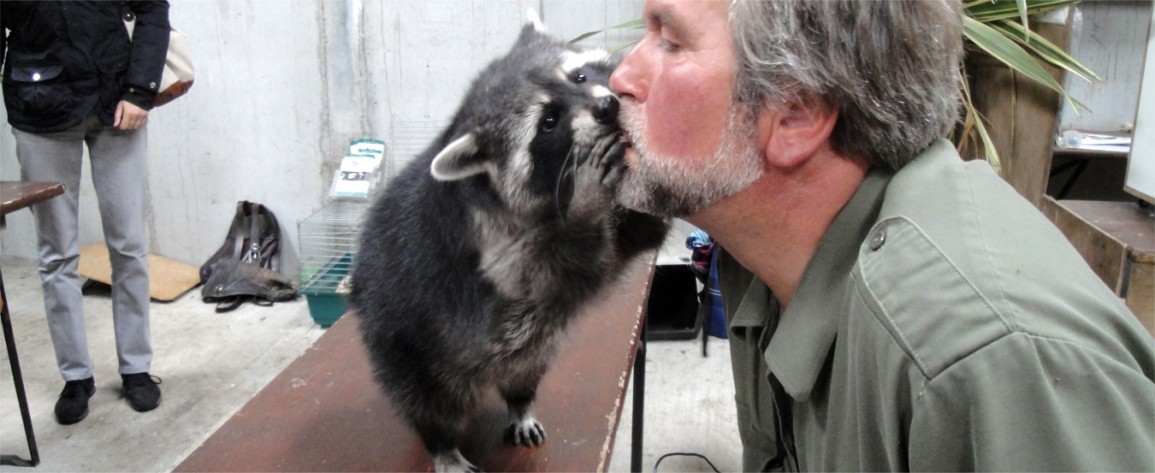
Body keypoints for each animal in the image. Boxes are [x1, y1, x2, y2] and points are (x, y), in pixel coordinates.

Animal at [344, 11, 669, 473]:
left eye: (579, 75)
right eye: (548, 121)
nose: (607, 107)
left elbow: (637, 235)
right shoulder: (481, 263)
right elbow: (564, 275)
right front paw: (586, 203)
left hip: (528, 353)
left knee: (524, 370)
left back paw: (520, 402)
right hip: (402, 341)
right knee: (427, 400)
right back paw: (441, 443)